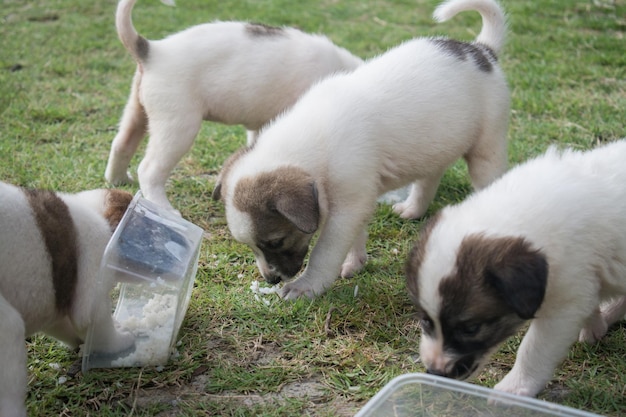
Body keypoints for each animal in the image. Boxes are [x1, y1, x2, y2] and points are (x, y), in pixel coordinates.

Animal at [0, 183, 136, 416]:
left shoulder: (53, 304)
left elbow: (64, 323)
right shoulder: (96, 253)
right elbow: (93, 318)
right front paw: (119, 340)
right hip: (6, 328)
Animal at [105, 0, 364, 211]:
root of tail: (152, 51)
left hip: (137, 113)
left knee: (121, 144)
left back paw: (118, 179)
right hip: (177, 126)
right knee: (149, 170)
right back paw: (163, 208)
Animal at [212, 0, 510, 300]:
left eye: (275, 242)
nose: (271, 279)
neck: (316, 144)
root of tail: (482, 50)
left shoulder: (347, 209)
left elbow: (324, 253)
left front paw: (306, 286)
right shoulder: (354, 202)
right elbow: (356, 236)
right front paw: (355, 263)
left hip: (487, 150)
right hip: (435, 143)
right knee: (430, 175)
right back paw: (413, 209)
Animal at [402, 140, 624, 396]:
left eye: (471, 328)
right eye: (426, 321)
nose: (434, 372)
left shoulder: (563, 304)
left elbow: (533, 348)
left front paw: (515, 389)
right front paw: (595, 324)